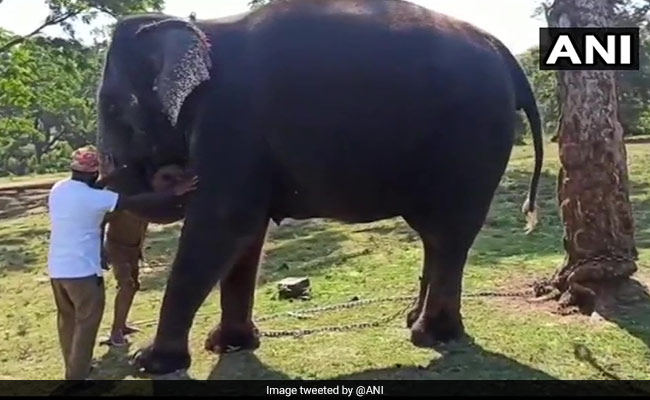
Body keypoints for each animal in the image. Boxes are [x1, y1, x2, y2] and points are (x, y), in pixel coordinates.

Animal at [96, 0, 543, 375]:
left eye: (114, 108)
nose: (180, 177)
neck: (200, 28)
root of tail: (503, 52)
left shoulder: (231, 120)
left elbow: (225, 224)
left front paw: (149, 363)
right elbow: (246, 234)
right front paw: (230, 345)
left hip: (473, 138)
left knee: (449, 234)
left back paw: (430, 336)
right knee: (436, 237)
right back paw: (416, 323)